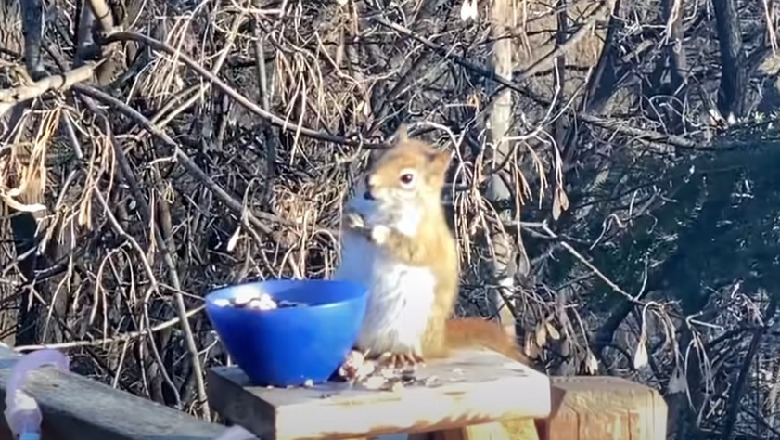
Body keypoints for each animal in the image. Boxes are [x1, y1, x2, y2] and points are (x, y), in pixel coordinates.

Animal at [332, 125, 528, 370]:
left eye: (407, 178)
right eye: (381, 157)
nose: (370, 181)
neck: (382, 208)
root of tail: (438, 343)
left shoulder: (426, 238)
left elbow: (411, 248)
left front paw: (380, 232)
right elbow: (347, 225)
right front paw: (352, 219)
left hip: (409, 326)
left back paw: (399, 355)